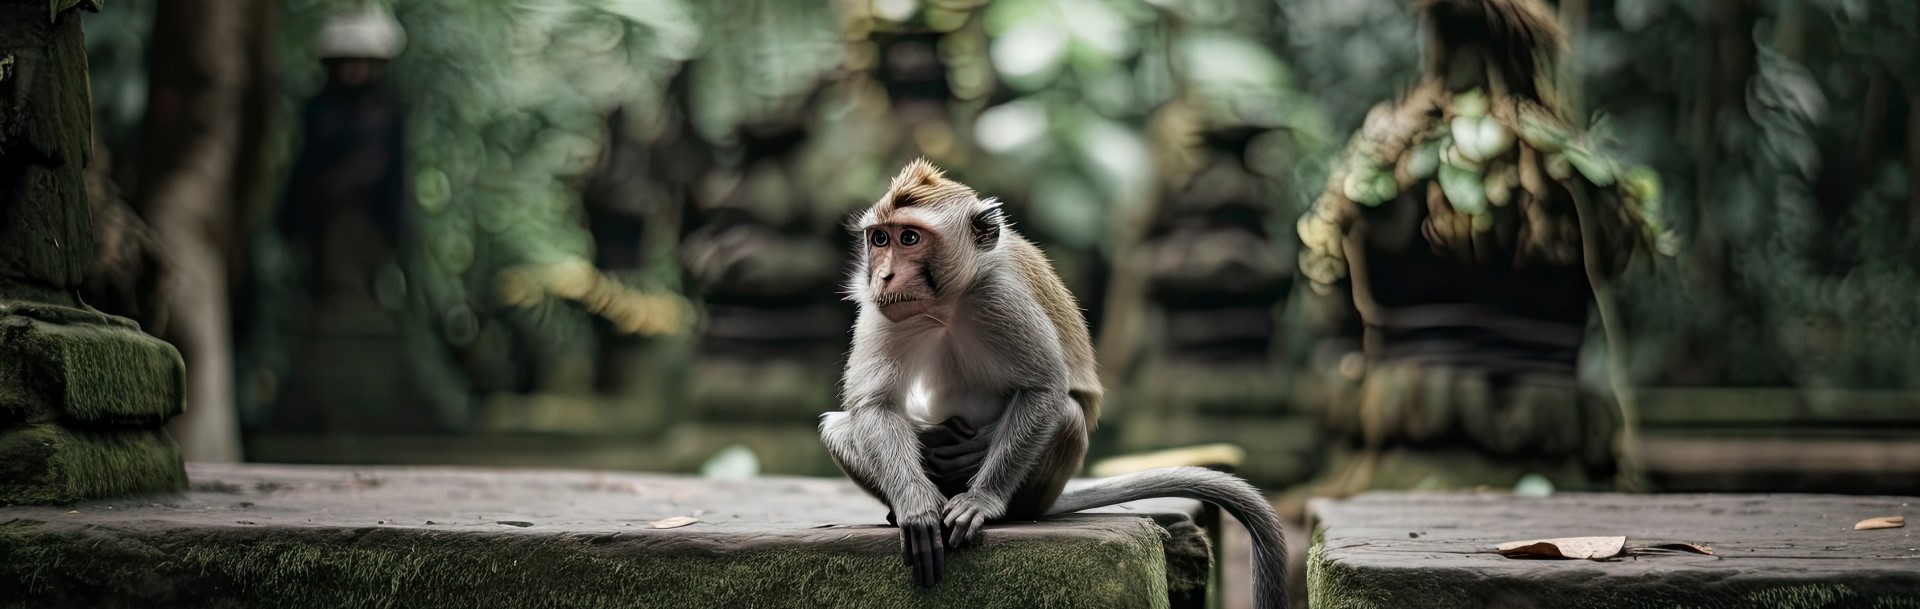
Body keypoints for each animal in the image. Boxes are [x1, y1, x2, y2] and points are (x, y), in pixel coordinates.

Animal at [814, 157, 1290, 607]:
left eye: (909, 238)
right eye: (879, 239)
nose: (884, 276)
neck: (947, 306)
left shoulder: (999, 298)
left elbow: (1045, 389)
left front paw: (981, 499)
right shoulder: (881, 310)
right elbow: (875, 405)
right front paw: (914, 506)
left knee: (1067, 415)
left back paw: (1002, 506)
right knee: (839, 427)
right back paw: (901, 510)